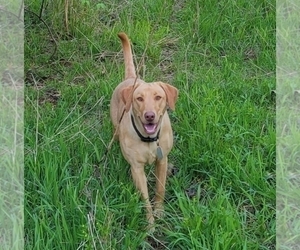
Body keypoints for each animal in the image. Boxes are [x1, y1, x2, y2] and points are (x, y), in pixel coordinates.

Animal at [110, 32, 178, 229]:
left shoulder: (162, 161)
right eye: (139, 99)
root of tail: (130, 78)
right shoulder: (137, 169)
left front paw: (159, 212)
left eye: (158, 97)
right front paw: (149, 224)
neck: (149, 139)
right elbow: (145, 197)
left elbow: (160, 189)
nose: (149, 115)